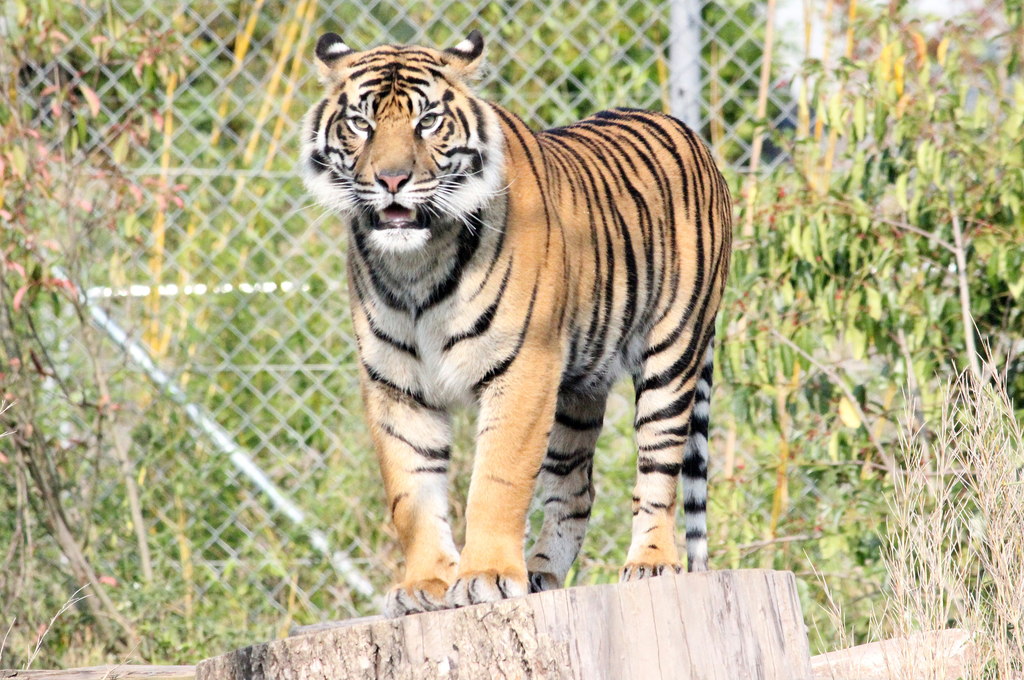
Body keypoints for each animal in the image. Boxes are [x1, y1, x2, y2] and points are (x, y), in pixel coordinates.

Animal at [299, 30, 733, 614]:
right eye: (361, 123)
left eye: (427, 121)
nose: (391, 179)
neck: (416, 264)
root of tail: (684, 128)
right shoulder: (395, 384)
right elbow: (411, 492)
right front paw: (424, 586)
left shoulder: (524, 367)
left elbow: (496, 481)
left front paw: (483, 576)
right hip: (578, 389)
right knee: (577, 489)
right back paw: (541, 573)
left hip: (674, 353)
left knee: (658, 471)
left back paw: (649, 563)